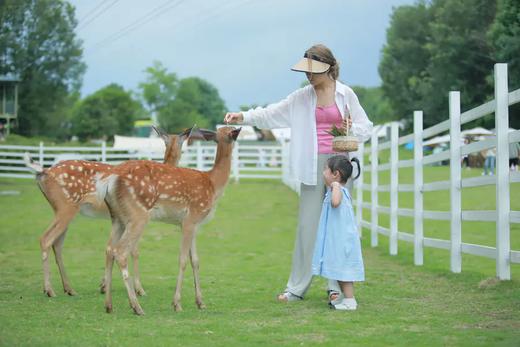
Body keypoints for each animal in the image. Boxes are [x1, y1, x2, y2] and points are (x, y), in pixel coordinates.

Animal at [22, 126, 198, 298]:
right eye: (185, 147)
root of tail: (44, 172)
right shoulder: (137, 217)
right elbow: (134, 251)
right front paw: (139, 289)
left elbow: (114, 248)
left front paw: (104, 285)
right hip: (66, 206)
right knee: (46, 239)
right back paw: (49, 289)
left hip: (62, 209)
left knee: (57, 244)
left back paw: (69, 289)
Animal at [96, 127, 241, 316]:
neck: (213, 185)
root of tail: (110, 179)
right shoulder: (190, 219)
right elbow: (183, 260)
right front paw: (177, 303)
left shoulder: (193, 224)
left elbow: (196, 261)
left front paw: (200, 302)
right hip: (138, 215)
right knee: (120, 251)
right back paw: (136, 306)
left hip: (117, 217)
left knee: (108, 249)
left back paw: (109, 305)